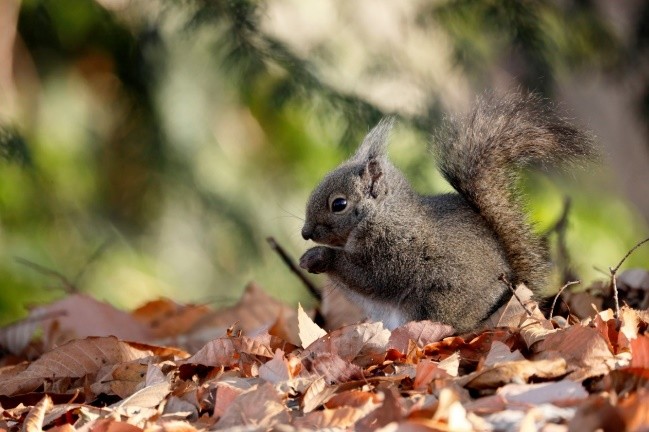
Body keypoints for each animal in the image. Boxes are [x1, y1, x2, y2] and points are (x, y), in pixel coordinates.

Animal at [298, 93, 592, 332]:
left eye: (339, 204)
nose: (305, 233)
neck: (385, 215)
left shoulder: (394, 251)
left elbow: (371, 278)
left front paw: (319, 257)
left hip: (440, 301)